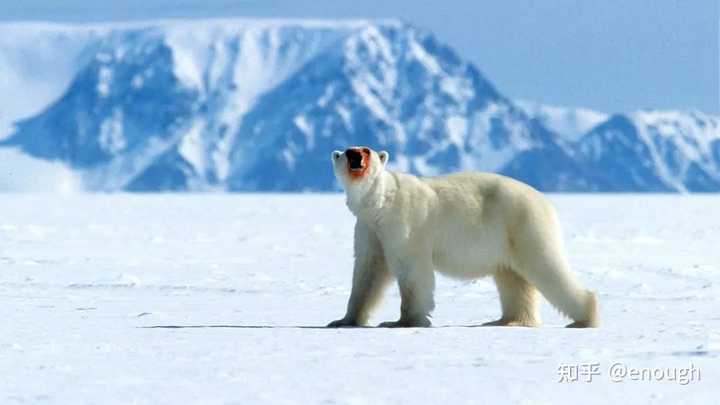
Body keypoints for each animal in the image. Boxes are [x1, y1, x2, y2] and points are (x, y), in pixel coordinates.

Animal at [326, 147, 596, 326]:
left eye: (366, 150)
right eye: (348, 151)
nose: (355, 156)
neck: (381, 202)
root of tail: (546, 201)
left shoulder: (405, 222)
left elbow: (411, 269)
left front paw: (404, 321)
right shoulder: (369, 228)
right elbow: (368, 272)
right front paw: (343, 320)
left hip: (524, 224)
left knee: (546, 267)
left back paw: (586, 316)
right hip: (508, 238)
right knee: (513, 279)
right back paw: (507, 321)